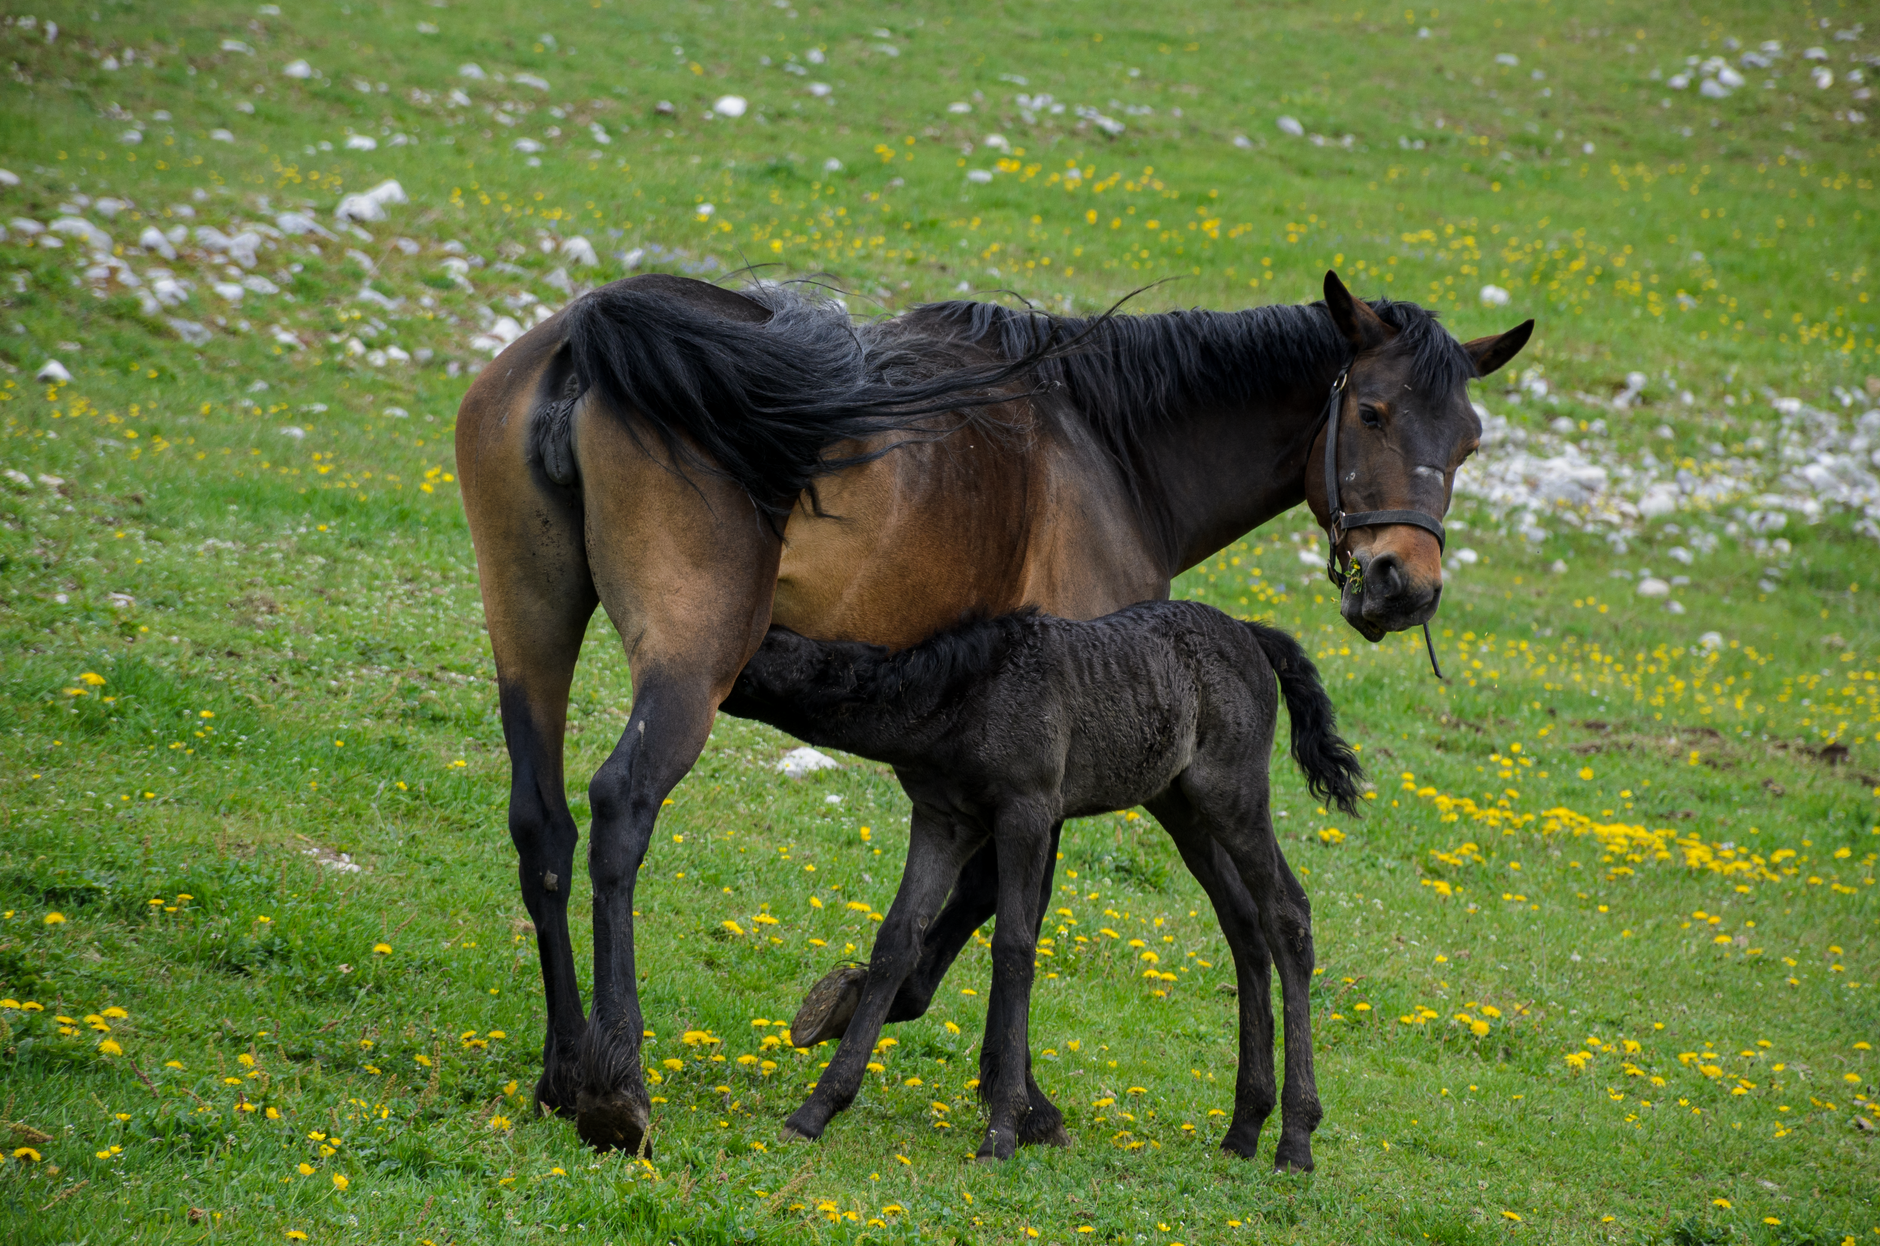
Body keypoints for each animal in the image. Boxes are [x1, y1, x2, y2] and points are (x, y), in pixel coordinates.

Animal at [724, 602, 1362, 1168]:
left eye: (759, 645)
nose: (710, 673)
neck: (967, 696)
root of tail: (1252, 634)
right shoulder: (942, 820)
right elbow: (897, 940)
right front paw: (816, 1110)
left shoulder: (1026, 814)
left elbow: (1014, 947)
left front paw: (1003, 1130)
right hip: (1180, 804)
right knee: (1243, 924)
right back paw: (1244, 1126)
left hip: (1233, 796)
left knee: (1287, 912)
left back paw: (1295, 1140)